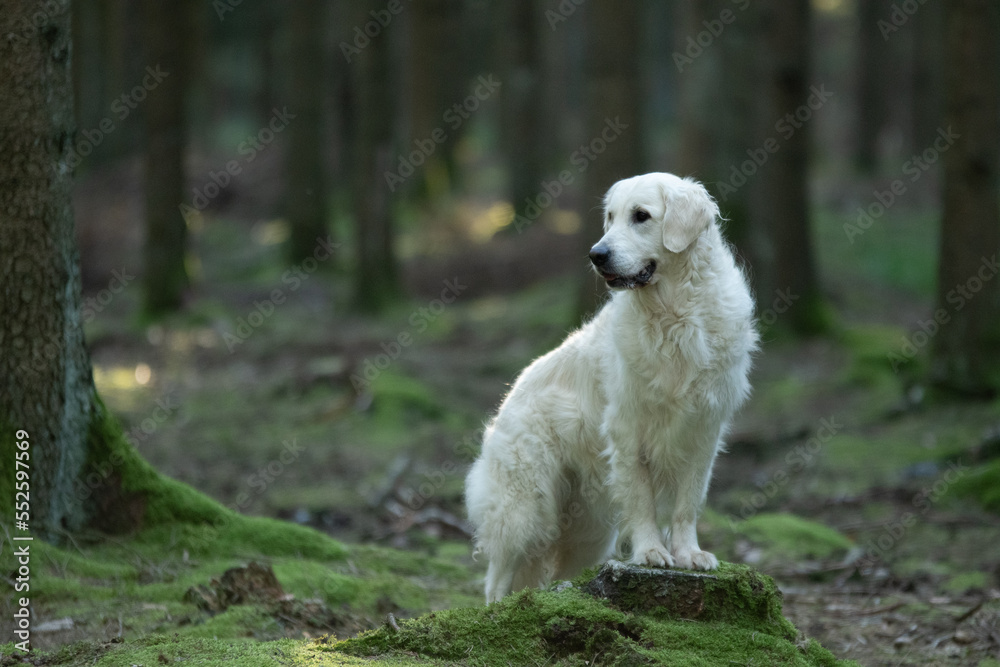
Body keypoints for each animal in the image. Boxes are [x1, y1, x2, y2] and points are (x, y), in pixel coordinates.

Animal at [464, 174, 752, 604]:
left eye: (641, 216)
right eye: (611, 217)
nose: (596, 254)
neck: (674, 316)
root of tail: (508, 397)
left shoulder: (703, 430)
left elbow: (687, 503)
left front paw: (689, 553)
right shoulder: (629, 430)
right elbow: (643, 501)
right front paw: (651, 551)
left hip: (586, 531)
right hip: (525, 508)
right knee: (497, 579)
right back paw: (500, 610)